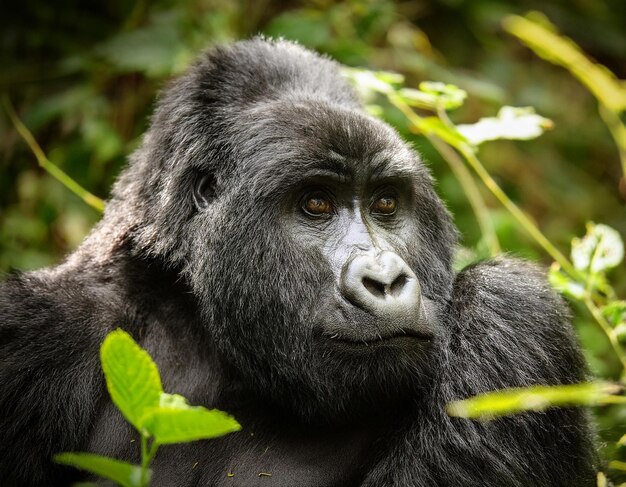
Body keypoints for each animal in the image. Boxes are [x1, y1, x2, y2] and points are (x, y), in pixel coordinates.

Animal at [0, 39, 596, 487]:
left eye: (386, 203)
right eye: (316, 204)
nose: (385, 280)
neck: (215, 345)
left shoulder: (516, 322)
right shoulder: (33, 330)